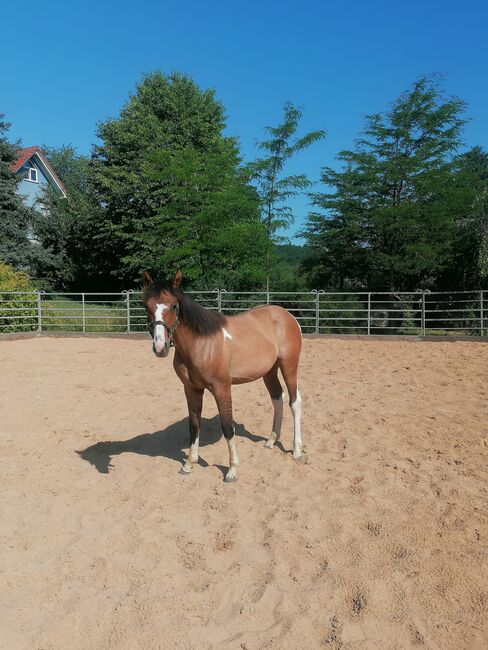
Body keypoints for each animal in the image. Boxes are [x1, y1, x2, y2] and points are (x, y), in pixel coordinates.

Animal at [142, 271, 303, 483]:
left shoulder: (222, 388)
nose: (160, 347)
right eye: (146, 306)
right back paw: (271, 441)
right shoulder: (192, 389)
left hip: (289, 366)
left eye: (174, 305)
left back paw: (297, 450)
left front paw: (232, 470)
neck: (201, 343)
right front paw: (189, 464)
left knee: (295, 402)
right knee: (278, 399)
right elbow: (193, 426)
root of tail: (287, 315)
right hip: (269, 371)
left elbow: (227, 427)